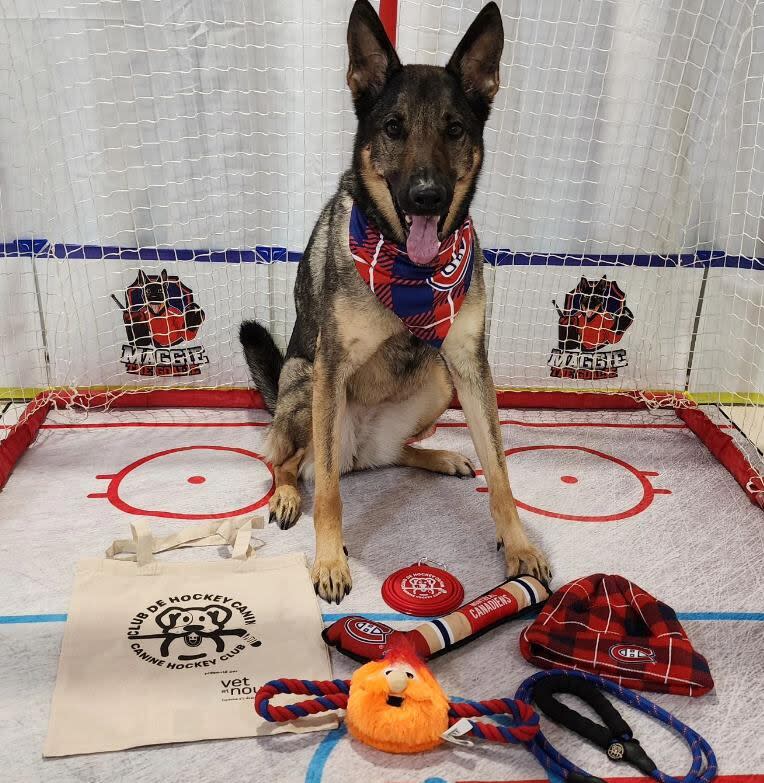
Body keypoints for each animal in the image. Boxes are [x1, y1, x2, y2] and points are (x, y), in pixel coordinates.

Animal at [239, 0, 548, 604]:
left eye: (455, 129)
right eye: (393, 128)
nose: (426, 196)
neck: (410, 268)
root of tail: (359, 452)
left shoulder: (470, 365)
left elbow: (501, 473)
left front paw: (520, 547)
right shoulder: (332, 364)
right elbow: (328, 496)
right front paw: (329, 561)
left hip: (438, 383)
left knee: (390, 454)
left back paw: (439, 456)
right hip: (308, 387)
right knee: (292, 463)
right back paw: (286, 494)